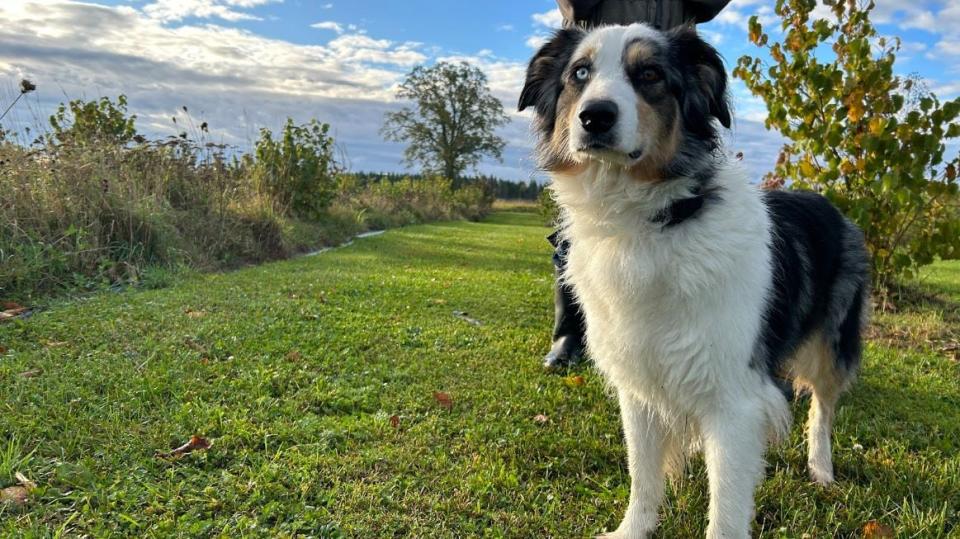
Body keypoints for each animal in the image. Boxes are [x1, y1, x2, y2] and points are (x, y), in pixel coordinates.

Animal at [520, 23, 872, 536]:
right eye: (579, 73)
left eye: (650, 74)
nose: (594, 117)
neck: (651, 222)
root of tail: (827, 201)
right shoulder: (638, 385)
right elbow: (643, 473)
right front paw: (633, 529)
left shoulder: (735, 399)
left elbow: (725, 507)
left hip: (831, 343)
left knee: (822, 408)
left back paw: (821, 468)